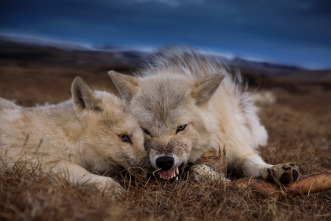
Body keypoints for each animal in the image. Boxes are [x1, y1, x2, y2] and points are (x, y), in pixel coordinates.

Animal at [0, 77, 148, 193]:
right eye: (124, 137)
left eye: (142, 139)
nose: (149, 173)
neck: (65, 134)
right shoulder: (23, 160)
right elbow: (79, 171)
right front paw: (112, 187)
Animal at [109, 47, 300, 185]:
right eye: (145, 130)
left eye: (181, 127)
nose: (164, 161)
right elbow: (197, 170)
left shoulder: (239, 148)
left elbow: (252, 162)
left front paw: (274, 170)